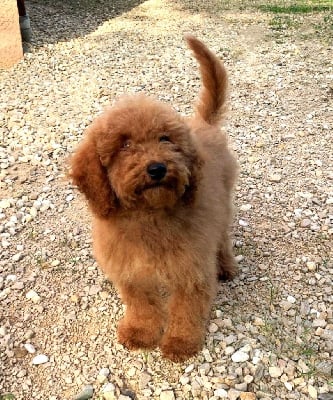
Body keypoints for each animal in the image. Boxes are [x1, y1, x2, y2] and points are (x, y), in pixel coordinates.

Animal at [68, 36, 237, 362]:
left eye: (164, 139)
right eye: (125, 145)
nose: (157, 168)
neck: (149, 215)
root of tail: (203, 124)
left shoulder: (191, 268)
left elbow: (186, 309)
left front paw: (181, 342)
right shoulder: (131, 271)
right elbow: (142, 306)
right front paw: (140, 333)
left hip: (222, 209)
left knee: (222, 238)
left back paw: (226, 266)